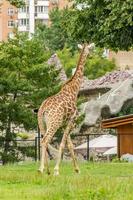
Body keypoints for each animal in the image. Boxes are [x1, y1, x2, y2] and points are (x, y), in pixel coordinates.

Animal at [37, 42, 94, 175]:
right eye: (90, 49)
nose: (91, 56)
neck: (74, 89)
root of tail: (42, 109)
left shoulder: (65, 123)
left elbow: (70, 144)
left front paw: (77, 169)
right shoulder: (72, 120)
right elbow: (63, 144)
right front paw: (57, 170)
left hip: (43, 123)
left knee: (43, 140)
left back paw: (47, 170)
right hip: (54, 122)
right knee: (45, 140)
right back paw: (41, 169)